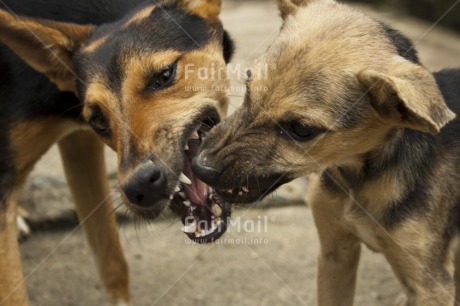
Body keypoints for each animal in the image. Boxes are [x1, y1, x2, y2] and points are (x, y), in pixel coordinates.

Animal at [190, 1, 460, 304]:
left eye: (301, 129)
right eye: (248, 87)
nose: (200, 167)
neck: (357, 181)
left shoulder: (430, 284)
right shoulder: (335, 255)